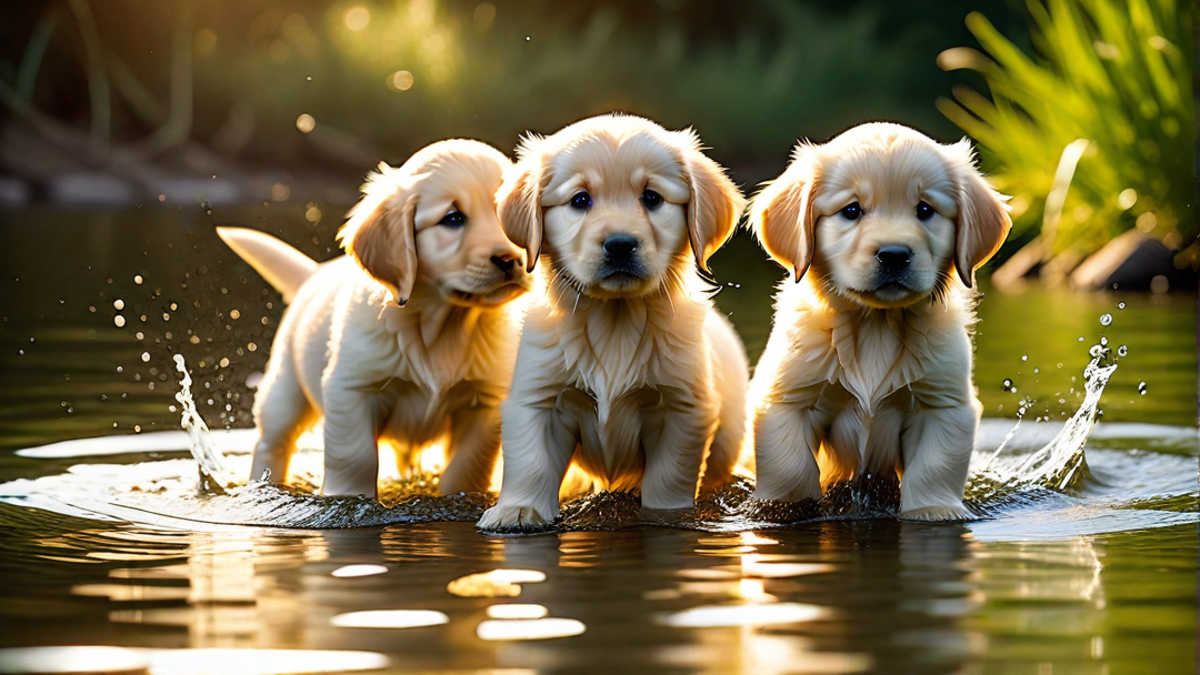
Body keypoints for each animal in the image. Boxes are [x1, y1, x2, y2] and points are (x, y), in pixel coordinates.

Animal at [217, 138, 535, 494]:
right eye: (453, 219)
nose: (513, 259)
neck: (441, 326)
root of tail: (314, 273)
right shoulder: (352, 389)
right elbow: (355, 457)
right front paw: (347, 494)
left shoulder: (484, 403)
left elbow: (467, 467)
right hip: (285, 390)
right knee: (272, 444)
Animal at [472, 112, 744, 528]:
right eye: (580, 200)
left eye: (652, 197)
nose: (619, 244)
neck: (615, 319)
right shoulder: (538, 399)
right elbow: (530, 462)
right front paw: (517, 510)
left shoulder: (681, 408)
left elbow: (668, 477)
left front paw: (663, 514)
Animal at [748, 121, 1012, 521]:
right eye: (852, 210)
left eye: (924, 209)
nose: (894, 254)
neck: (876, 324)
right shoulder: (788, 400)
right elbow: (790, 467)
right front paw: (786, 507)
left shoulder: (943, 403)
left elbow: (934, 467)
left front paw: (933, 510)